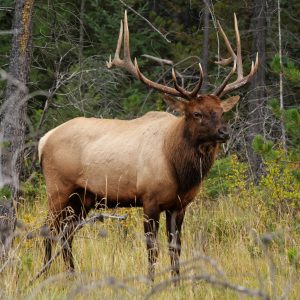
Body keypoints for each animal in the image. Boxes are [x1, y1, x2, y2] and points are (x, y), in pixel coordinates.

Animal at [38, 11, 258, 278]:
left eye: (220, 111)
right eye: (196, 113)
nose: (224, 132)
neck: (179, 169)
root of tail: (43, 140)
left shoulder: (179, 206)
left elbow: (175, 248)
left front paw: (177, 281)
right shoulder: (149, 199)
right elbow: (152, 249)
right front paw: (151, 281)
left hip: (83, 197)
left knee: (67, 233)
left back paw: (71, 274)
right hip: (58, 188)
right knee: (48, 229)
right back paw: (45, 274)